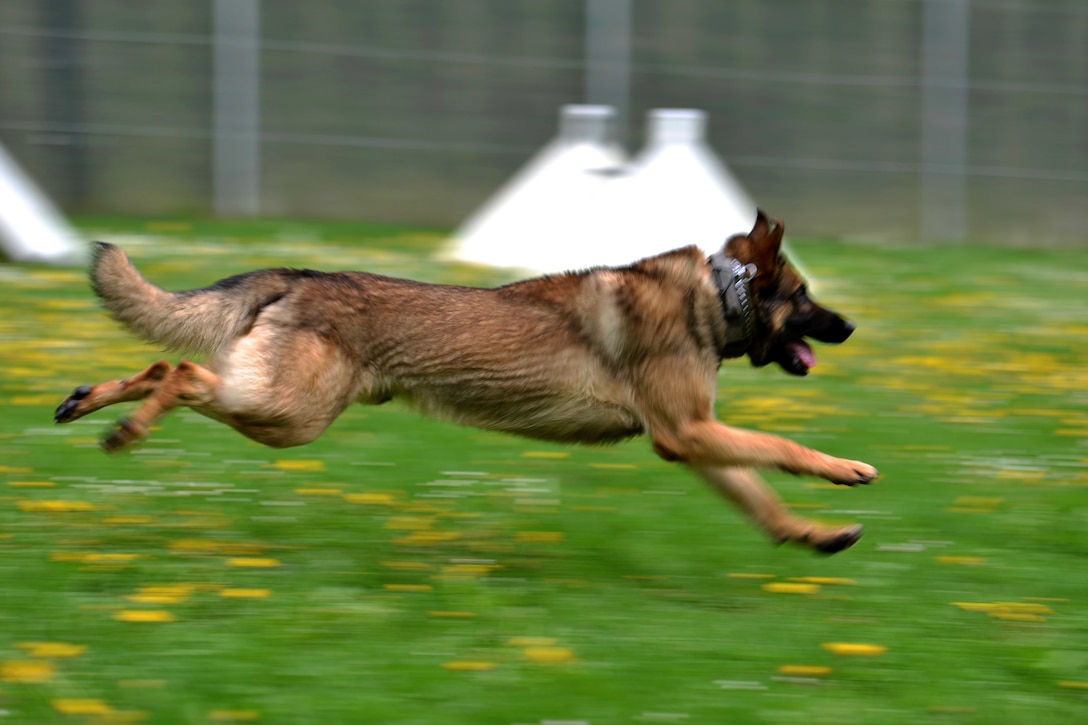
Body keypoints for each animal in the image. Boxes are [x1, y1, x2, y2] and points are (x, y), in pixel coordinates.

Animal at [57, 212, 874, 550]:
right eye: (805, 295)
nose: (850, 326)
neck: (717, 295)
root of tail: (300, 274)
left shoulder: (695, 441)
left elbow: (765, 500)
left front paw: (816, 535)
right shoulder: (690, 432)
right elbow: (784, 448)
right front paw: (845, 469)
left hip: (276, 406)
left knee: (160, 366)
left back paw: (86, 404)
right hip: (286, 413)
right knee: (179, 370)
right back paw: (125, 427)